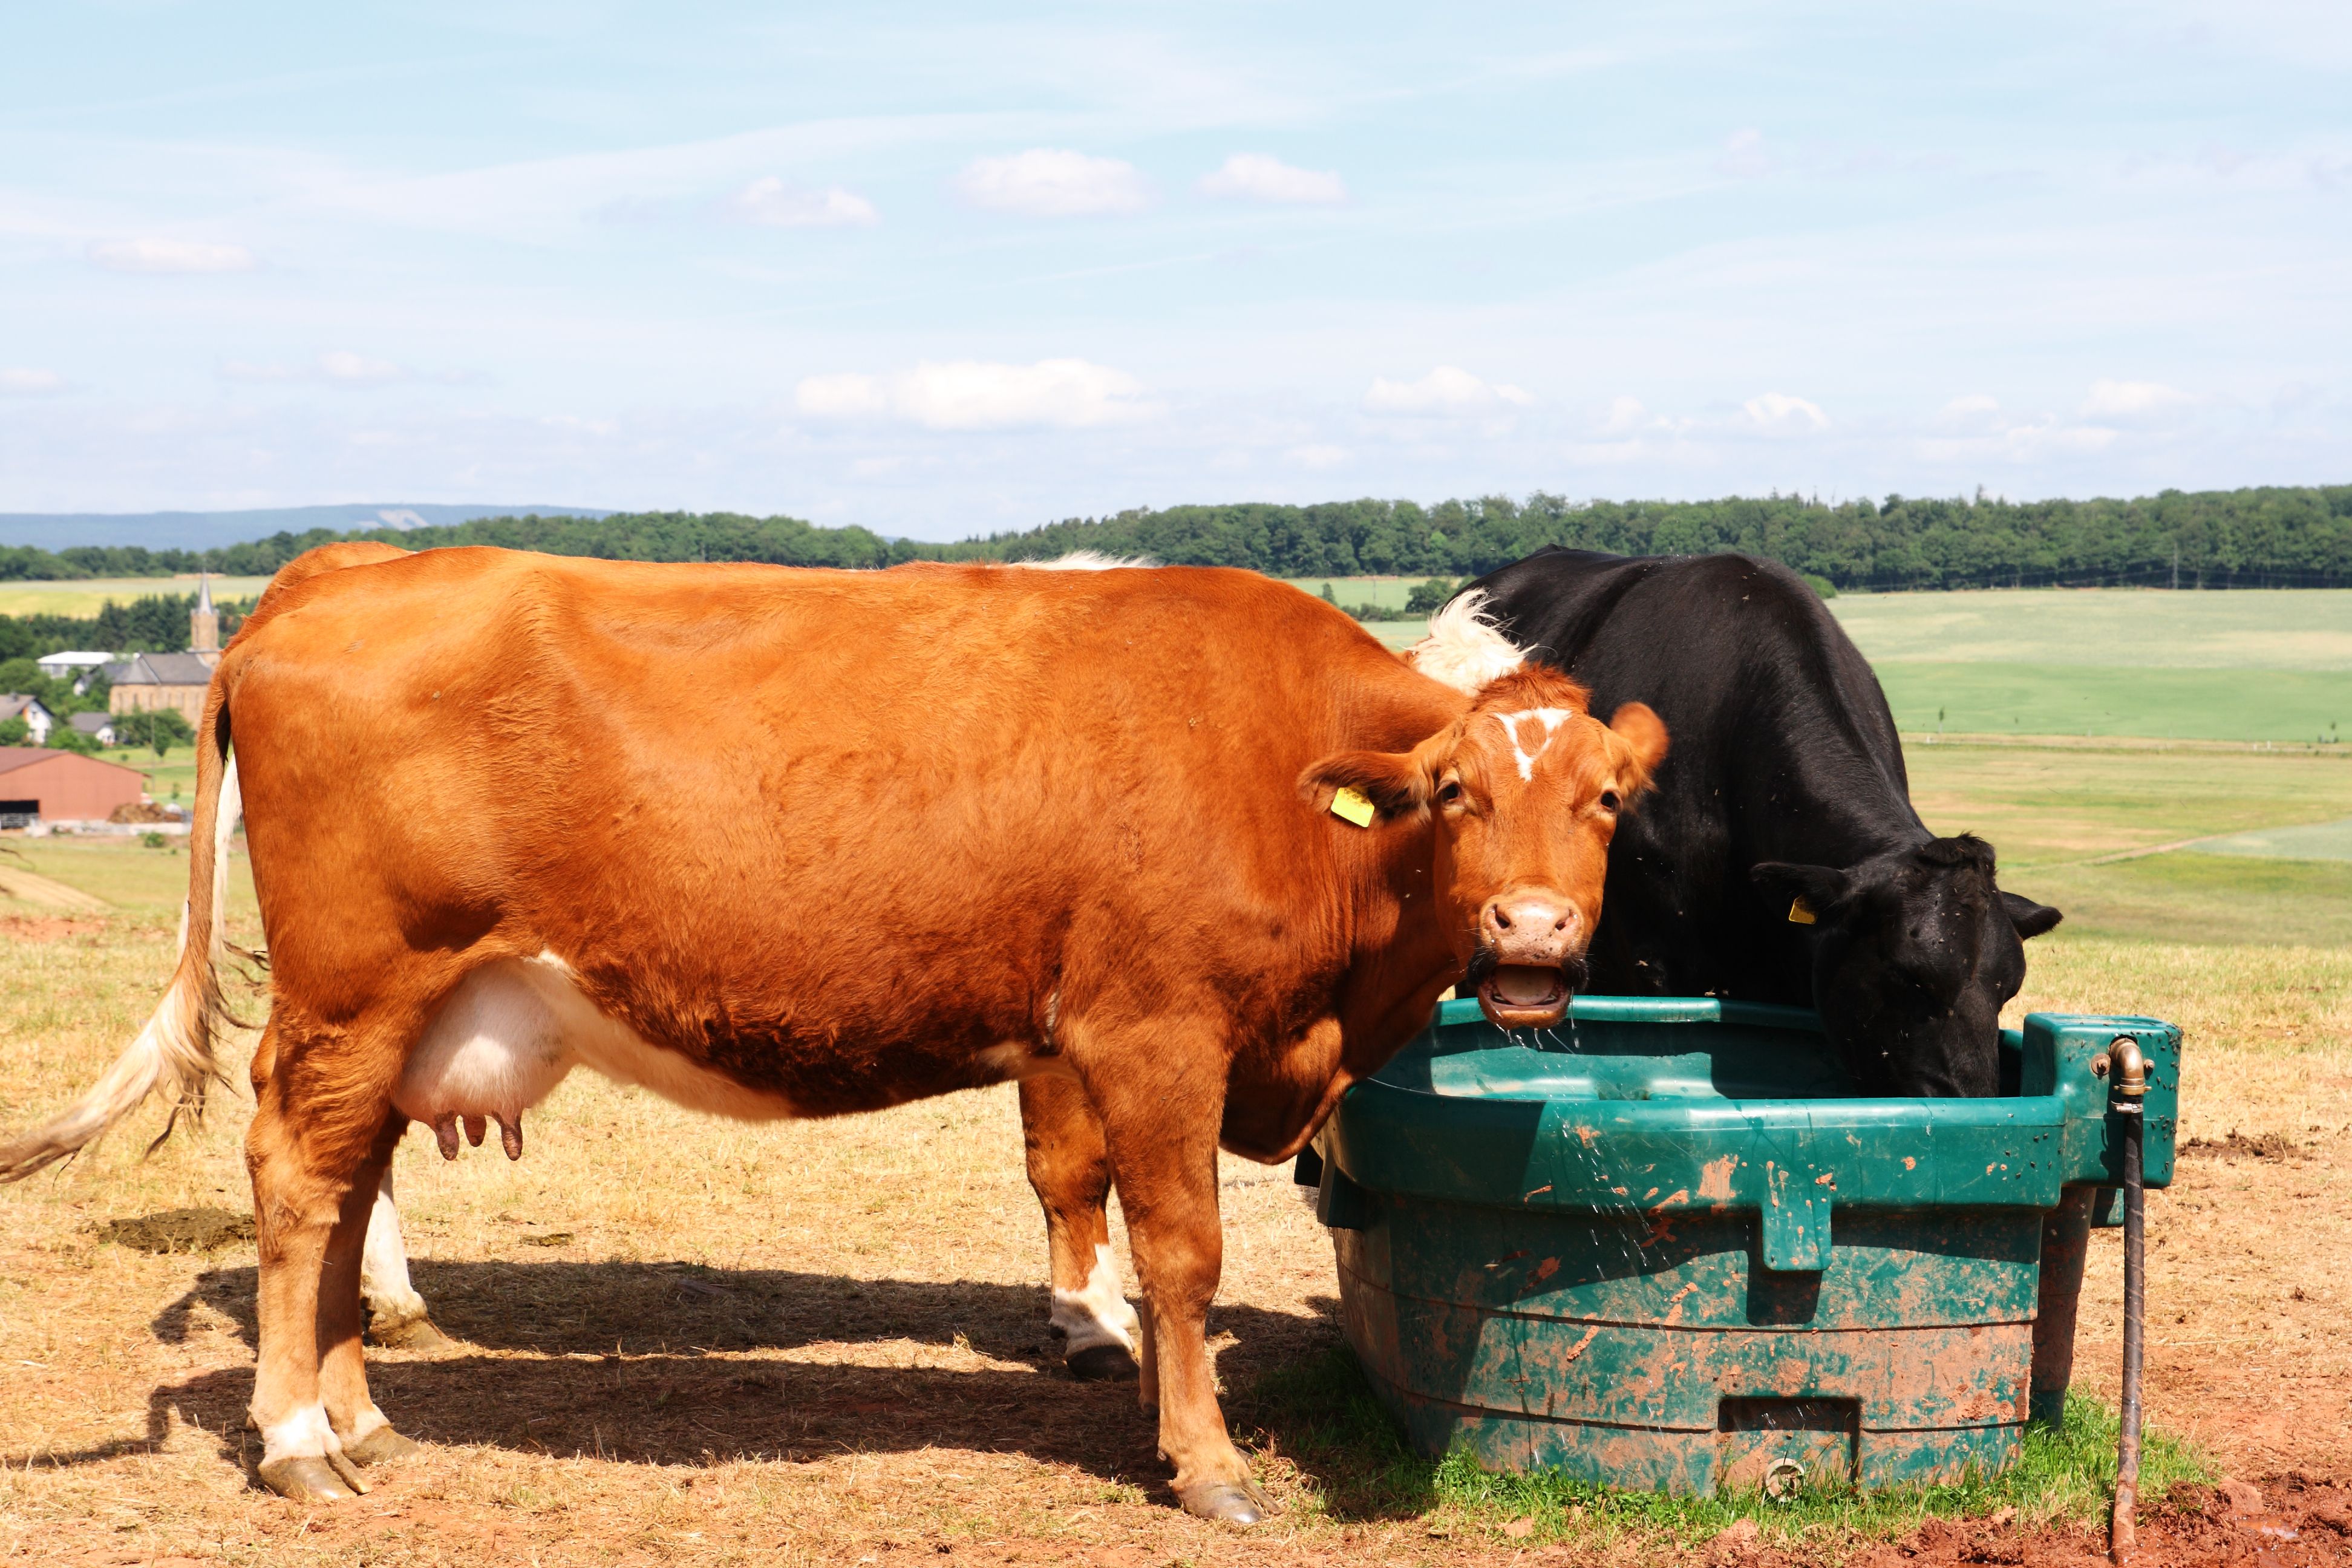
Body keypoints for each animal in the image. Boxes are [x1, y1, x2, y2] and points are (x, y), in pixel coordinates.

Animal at [0, 548, 1666, 1524]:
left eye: (1606, 801)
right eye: (1454, 791)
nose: (1531, 936)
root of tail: (336, 572)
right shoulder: (1150, 1030)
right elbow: (1180, 1251)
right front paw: (1201, 1458)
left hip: (403, 1015)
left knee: (345, 1194)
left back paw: (363, 1420)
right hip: (354, 992)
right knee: (297, 1184)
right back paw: (294, 1439)